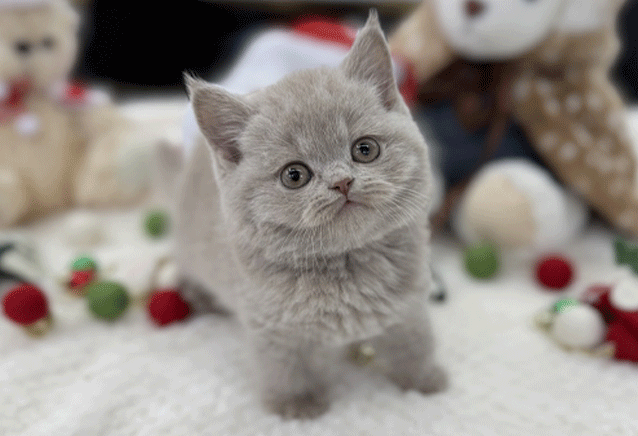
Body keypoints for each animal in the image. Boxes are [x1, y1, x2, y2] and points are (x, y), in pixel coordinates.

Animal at [178, 10, 447, 419]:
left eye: (365, 149)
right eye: (294, 175)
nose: (342, 182)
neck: (346, 265)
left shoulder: (410, 305)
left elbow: (414, 343)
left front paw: (425, 383)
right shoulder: (271, 327)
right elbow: (289, 368)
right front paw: (297, 406)